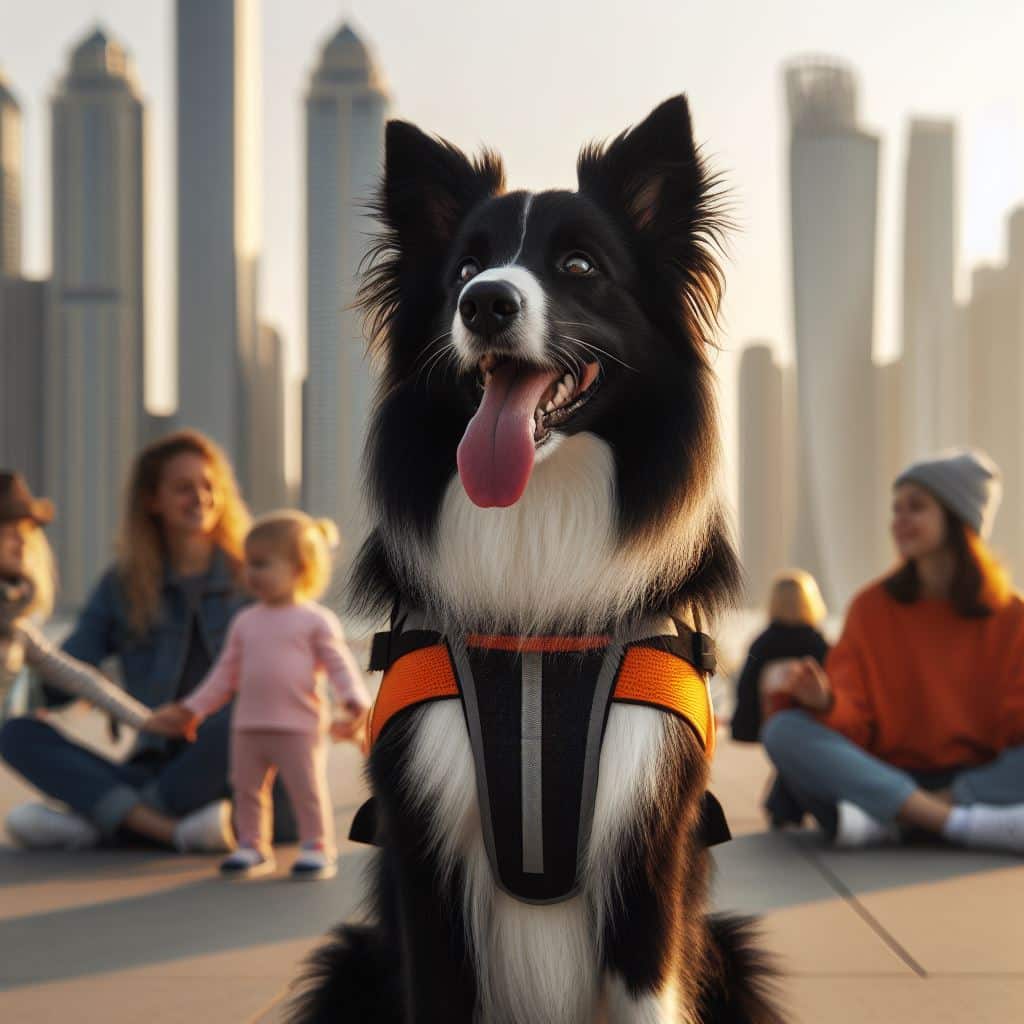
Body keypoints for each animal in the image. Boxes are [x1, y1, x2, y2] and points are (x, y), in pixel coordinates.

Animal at [288, 96, 782, 1024]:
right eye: (464, 270)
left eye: (580, 265)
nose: (485, 304)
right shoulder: (428, 860)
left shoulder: (647, 844)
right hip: (346, 962)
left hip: (735, 954)